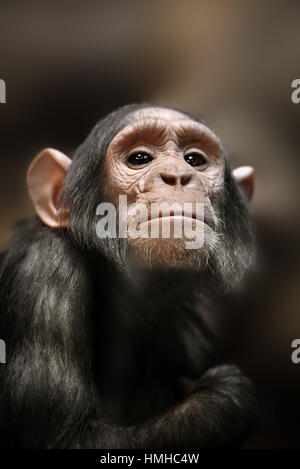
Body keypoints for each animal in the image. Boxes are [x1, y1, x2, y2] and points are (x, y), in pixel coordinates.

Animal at [0, 102, 256, 446]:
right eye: (139, 158)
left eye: (195, 160)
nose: (178, 175)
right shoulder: (41, 272)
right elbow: (65, 436)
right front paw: (228, 396)